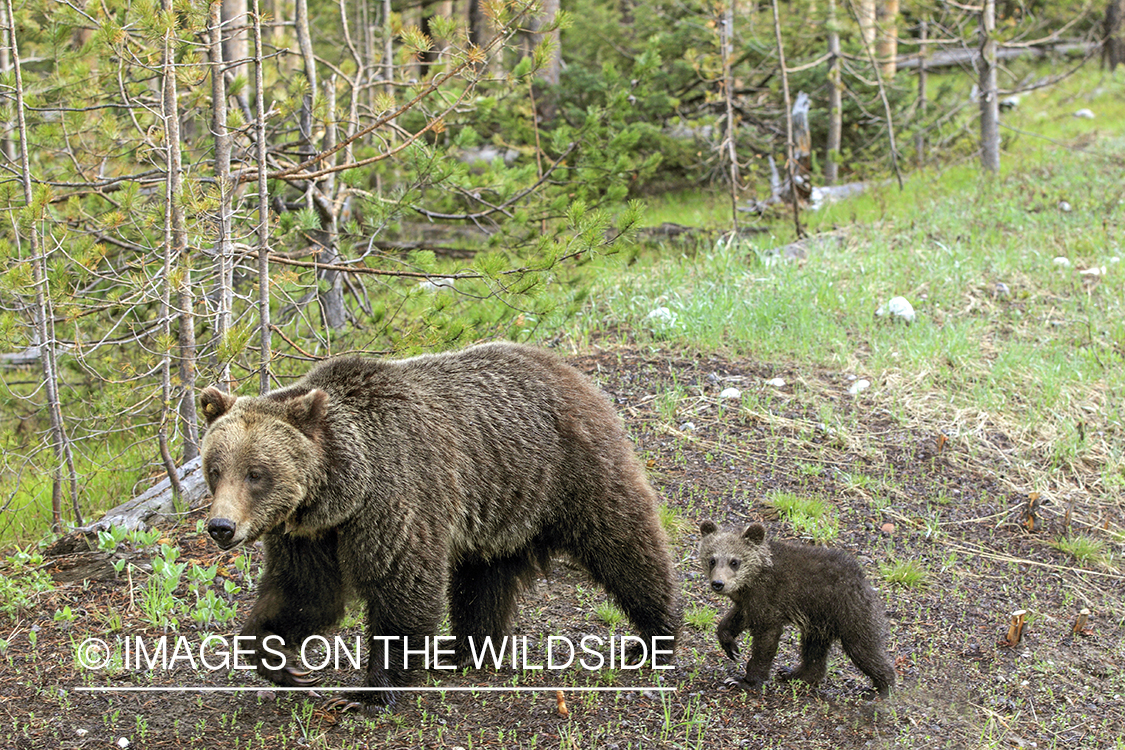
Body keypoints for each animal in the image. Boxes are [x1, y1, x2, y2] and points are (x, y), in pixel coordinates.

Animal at [199, 341, 680, 709]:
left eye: (256, 473)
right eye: (214, 469)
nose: (221, 526)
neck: (340, 493)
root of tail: (568, 370)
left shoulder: (396, 499)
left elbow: (402, 587)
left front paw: (367, 693)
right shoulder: (306, 534)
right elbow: (306, 593)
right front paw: (281, 662)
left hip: (570, 471)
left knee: (623, 542)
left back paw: (654, 636)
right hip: (499, 509)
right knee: (482, 581)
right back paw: (464, 650)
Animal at [697, 520, 895, 697]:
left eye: (734, 562)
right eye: (712, 560)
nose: (718, 583)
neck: (752, 579)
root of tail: (862, 579)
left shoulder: (769, 599)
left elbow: (765, 641)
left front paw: (745, 681)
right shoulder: (748, 602)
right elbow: (734, 620)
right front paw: (731, 647)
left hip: (849, 610)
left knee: (863, 648)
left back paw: (881, 689)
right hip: (819, 620)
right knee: (814, 649)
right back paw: (794, 674)